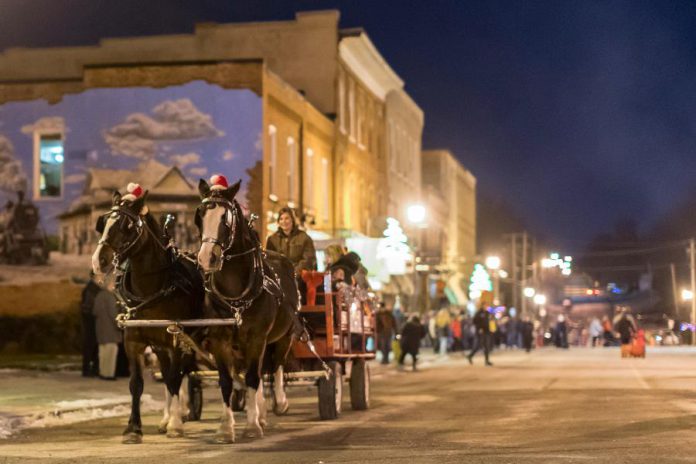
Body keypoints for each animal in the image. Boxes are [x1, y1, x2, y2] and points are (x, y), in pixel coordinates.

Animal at [92, 191, 204, 442]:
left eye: (127, 226)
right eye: (104, 223)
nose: (98, 260)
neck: (152, 289)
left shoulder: (175, 340)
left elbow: (174, 379)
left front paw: (175, 424)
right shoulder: (133, 341)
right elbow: (137, 383)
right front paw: (134, 427)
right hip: (161, 346)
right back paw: (165, 418)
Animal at [198, 179, 302, 442]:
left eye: (225, 218)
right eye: (200, 214)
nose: (206, 258)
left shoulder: (257, 337)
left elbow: (255, 377)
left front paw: (252, 426)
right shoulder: (219, 340)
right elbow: (226, 381)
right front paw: (226, 428)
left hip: (283, 336)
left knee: (275, 366)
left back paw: (277, 404)